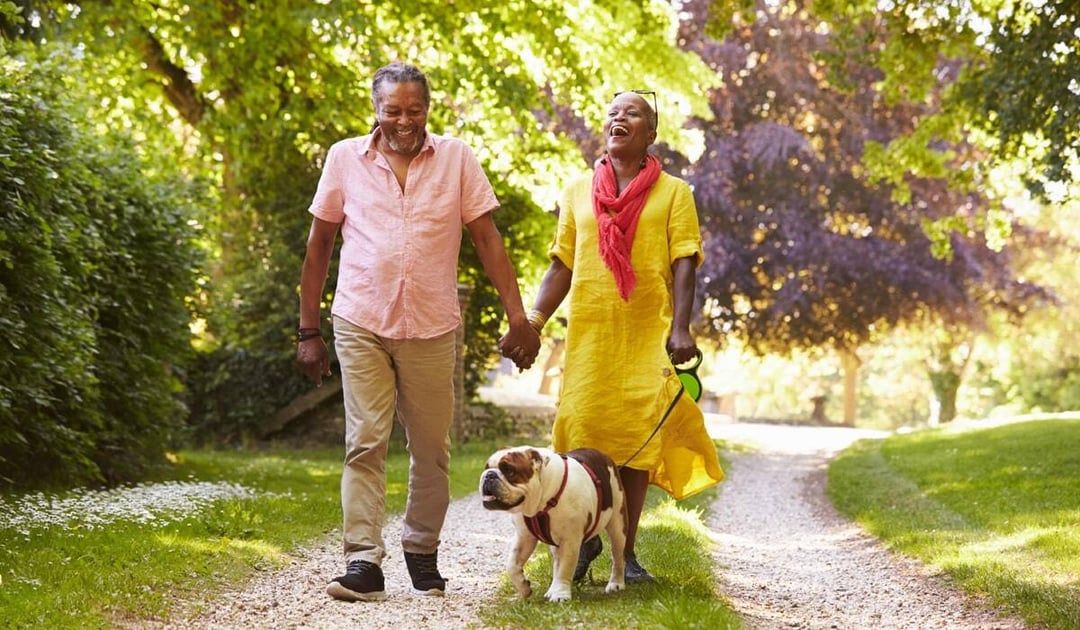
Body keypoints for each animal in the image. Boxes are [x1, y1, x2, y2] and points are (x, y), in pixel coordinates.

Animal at [479, 443, 626, 600]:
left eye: (509, 470)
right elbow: (512, 564)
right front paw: (524, 588)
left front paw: (560, 594)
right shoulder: (524, 537)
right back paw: (551, 589)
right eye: (486, 467)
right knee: (556, 561)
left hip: (618, 524)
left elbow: (565, 567)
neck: (542, 501)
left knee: (617, 556)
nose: (489, 475)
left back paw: (616, 583)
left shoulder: (570, 540)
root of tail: (602, 455)